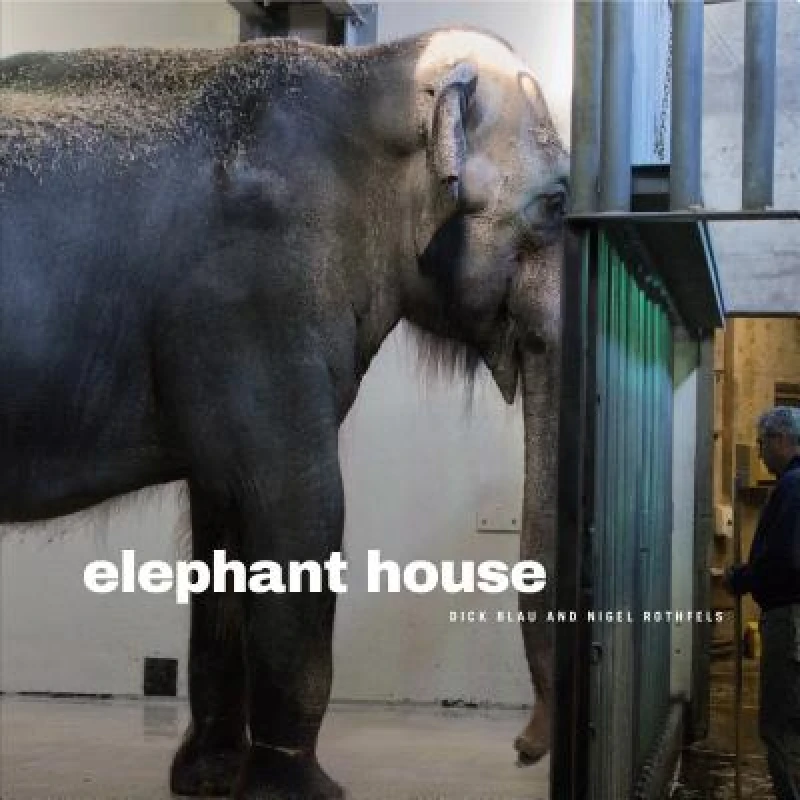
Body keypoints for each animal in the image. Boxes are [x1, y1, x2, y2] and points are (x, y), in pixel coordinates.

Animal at [0, 27, 568, 799]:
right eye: (559, 205)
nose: (525, 748)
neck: (371, 73)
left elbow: (222, 515)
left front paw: (209, 780)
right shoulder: (257, 296)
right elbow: (302, 507)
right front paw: (303, 791)